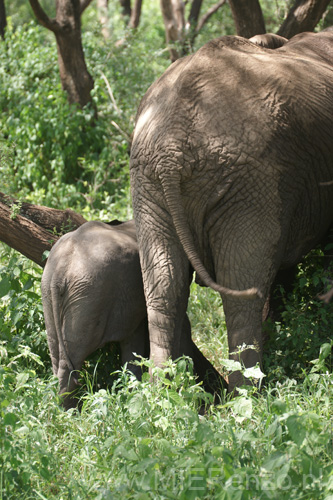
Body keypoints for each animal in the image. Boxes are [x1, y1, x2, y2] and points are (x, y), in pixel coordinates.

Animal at [40, 221, 223, 408]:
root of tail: (60, 271)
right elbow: (180, 323)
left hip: (51, 293)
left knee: (56, 353)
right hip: (88, 293)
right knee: (74, 356)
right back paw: (69, 410)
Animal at [129, 32, 332, 390]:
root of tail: (171, 149)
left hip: (150, 184)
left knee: (163, 287)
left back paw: (159, 391)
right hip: (249, 181)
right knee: (241, 291)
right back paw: (248, 392)